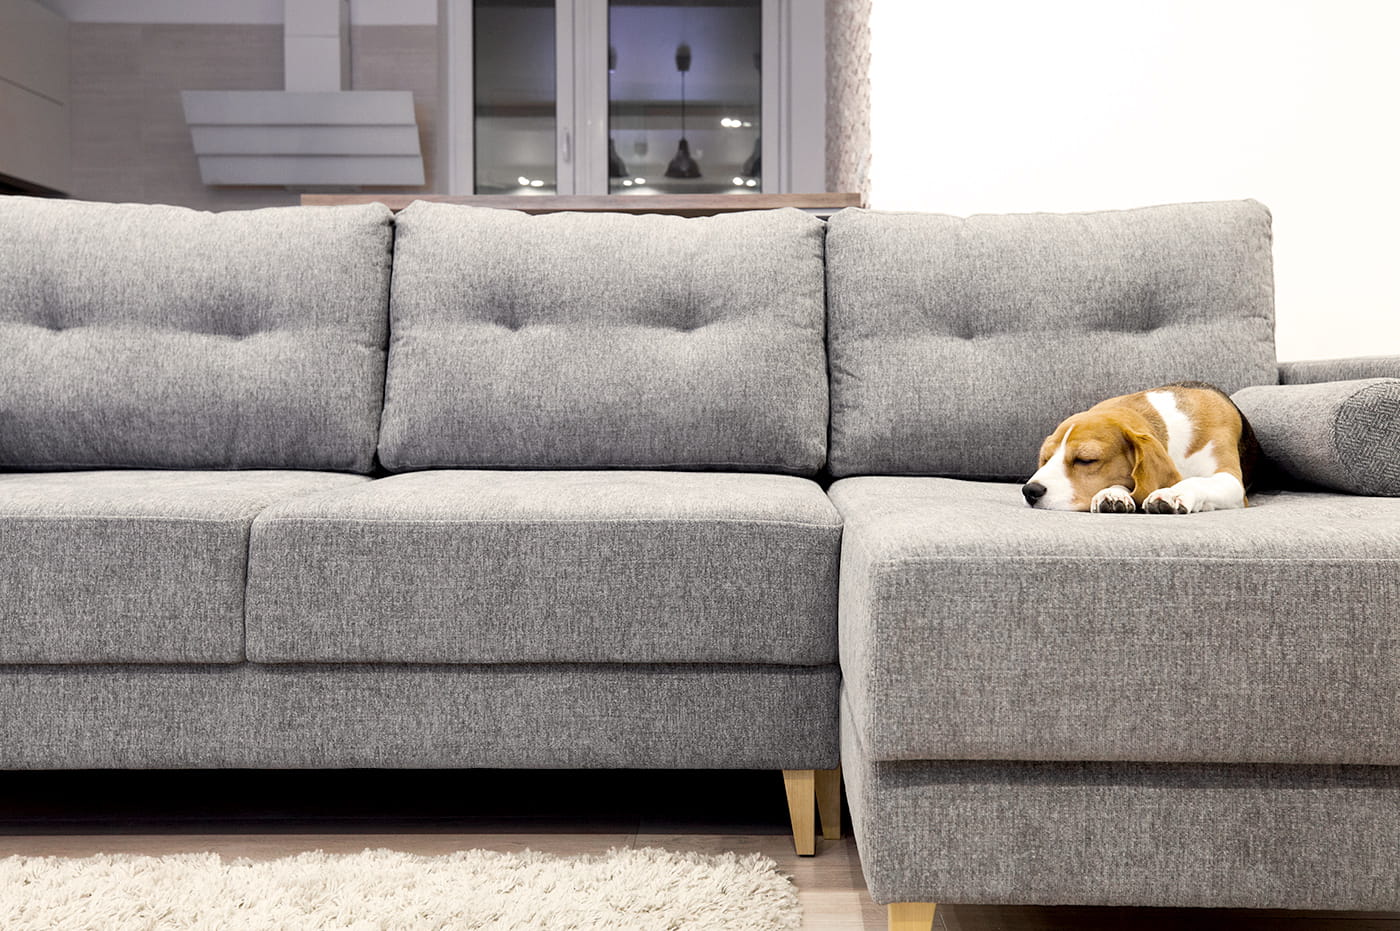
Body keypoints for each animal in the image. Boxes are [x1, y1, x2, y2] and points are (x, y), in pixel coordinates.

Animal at [1024, 378, 1265, 512]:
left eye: (1086, 460)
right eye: (1045, 459)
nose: (1029, 491)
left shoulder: (1231, 481)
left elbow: (1197, 481)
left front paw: (1172, 493)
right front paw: (1112, 494)